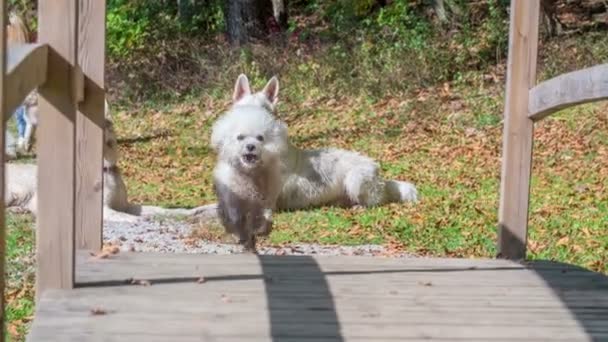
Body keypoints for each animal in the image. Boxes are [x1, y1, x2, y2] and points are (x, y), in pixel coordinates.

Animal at [210, 74, 418, 251]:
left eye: (265, 113)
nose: (250, 142)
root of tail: (380, 175)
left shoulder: (266, 204)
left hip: (356, 179)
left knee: (376, 201)